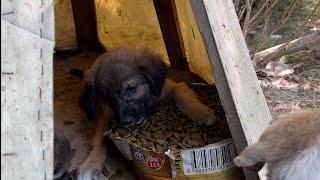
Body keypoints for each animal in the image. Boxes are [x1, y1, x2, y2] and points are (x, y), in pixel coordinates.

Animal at [76, 47, 216, 179]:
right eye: (108, 99)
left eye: (131, 88)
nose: (126, 121)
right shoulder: (105, 120)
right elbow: (99, 141)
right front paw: (89, 164)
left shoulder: (171, 87)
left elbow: (182, 97)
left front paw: (202, 113)